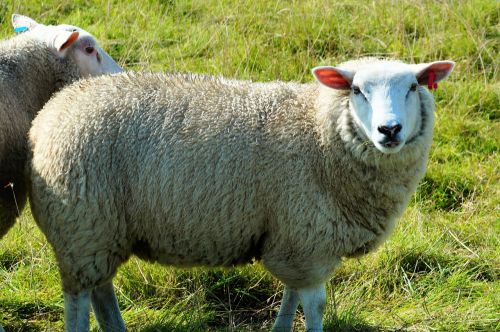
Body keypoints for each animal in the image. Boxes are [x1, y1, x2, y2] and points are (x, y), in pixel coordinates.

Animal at [29, 58, 456, 330]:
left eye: (413, 86)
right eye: (356, 90)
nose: (390, 130)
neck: (318, 132)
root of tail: (51, 113)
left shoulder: (294, 238)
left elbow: (291, 297)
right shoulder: (307, 241)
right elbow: (314, 305)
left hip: (99, 232)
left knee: (101, 290)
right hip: (81, 226)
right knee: (78, 299)